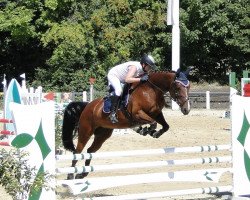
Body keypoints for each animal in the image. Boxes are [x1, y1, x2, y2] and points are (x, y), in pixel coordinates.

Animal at [62, 68, 191, 179]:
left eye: (188, 87)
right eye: (178, 87)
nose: (186, 109)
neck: (151, 90)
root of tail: (87, 106)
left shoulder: (157, 113)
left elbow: (165, 126)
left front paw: (154, 133)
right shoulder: (137, 113)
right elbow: (153, 123)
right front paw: (145, 130)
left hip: (103, 134)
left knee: (90, 151)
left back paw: (82, 174)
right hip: (86, 131)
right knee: (77, 152)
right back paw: (70, 175)